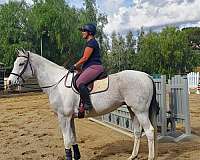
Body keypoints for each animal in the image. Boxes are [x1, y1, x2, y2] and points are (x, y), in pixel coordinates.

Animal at [8, 50, 159, 160]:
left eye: (21, 63)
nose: (9, 82)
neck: (57, 84)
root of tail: (147, 76)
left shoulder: (63, 118)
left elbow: (66, 140)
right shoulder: (70, 118)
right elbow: (73, 138)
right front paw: (77, 156)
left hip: (140, 111)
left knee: (149, 131)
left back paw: (150, 157)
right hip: (132, 110)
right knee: (137, 132)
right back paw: (133, 156)